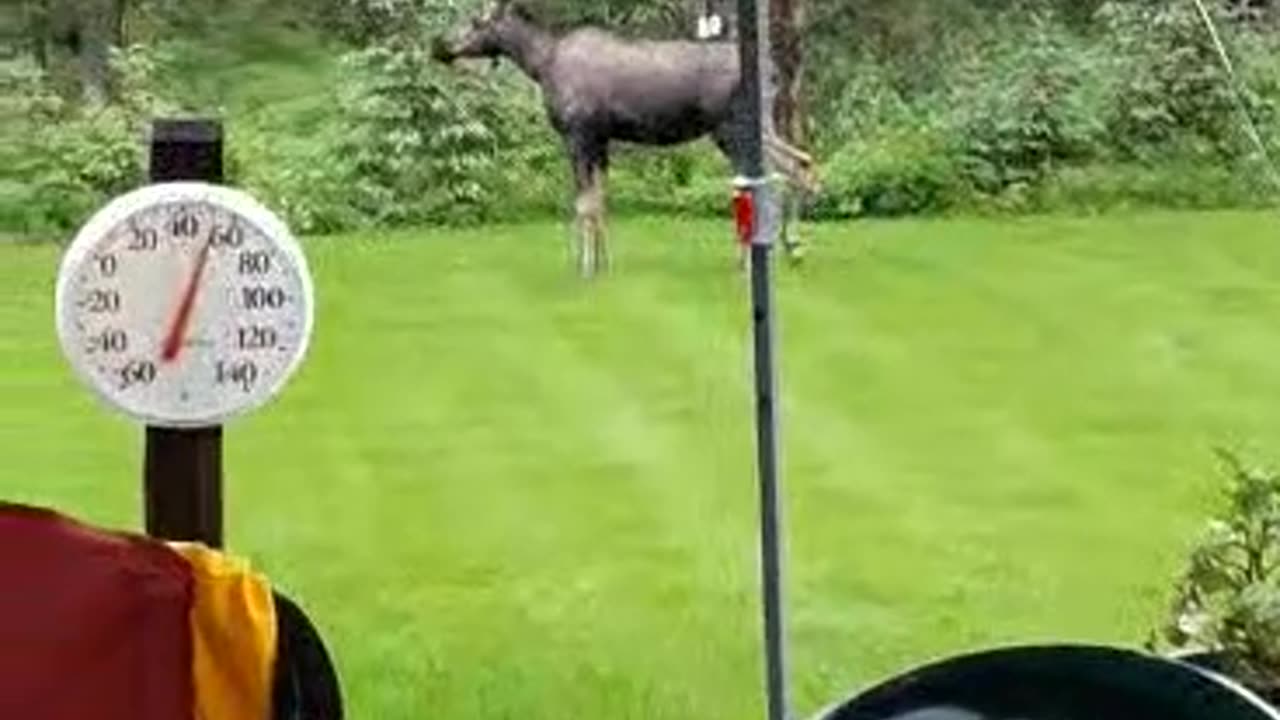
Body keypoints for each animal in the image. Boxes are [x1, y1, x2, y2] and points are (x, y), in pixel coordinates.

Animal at [432, 0, 819, 275]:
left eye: (476, 22)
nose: (441, 47)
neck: (539, 65)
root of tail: (773, 72)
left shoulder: (578, 135)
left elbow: (583, 203)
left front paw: (584, 266)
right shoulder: (601, 140)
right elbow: (600, 200)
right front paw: (603, 261)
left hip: (731, 129)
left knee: (778, 173)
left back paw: (765, 253)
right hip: (749, 128)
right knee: (799, 162)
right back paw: (787, 247)